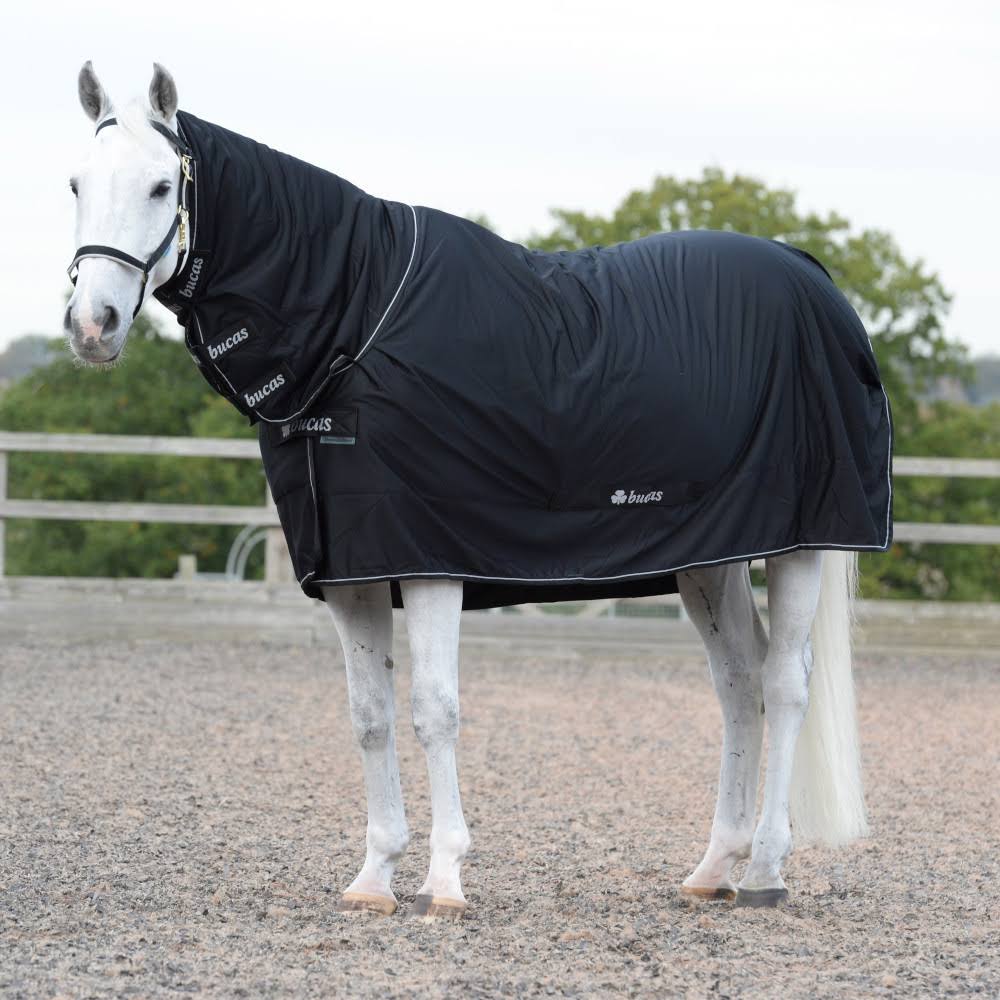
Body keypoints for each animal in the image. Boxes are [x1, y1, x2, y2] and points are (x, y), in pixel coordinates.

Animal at [64, 62, 891, 917]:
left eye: (163, 185)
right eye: (75, 183)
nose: (92, 324)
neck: (356, 319)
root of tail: (813, 277)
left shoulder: (430, 557)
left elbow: (434, 710)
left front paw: (445, 879)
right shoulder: (352, 570)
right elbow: (369, 716)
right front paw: (375, 878)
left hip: (801, 541)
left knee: (785, 684)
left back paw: (764, 870)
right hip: (712, 557)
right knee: (737, 682)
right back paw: (712, 867)